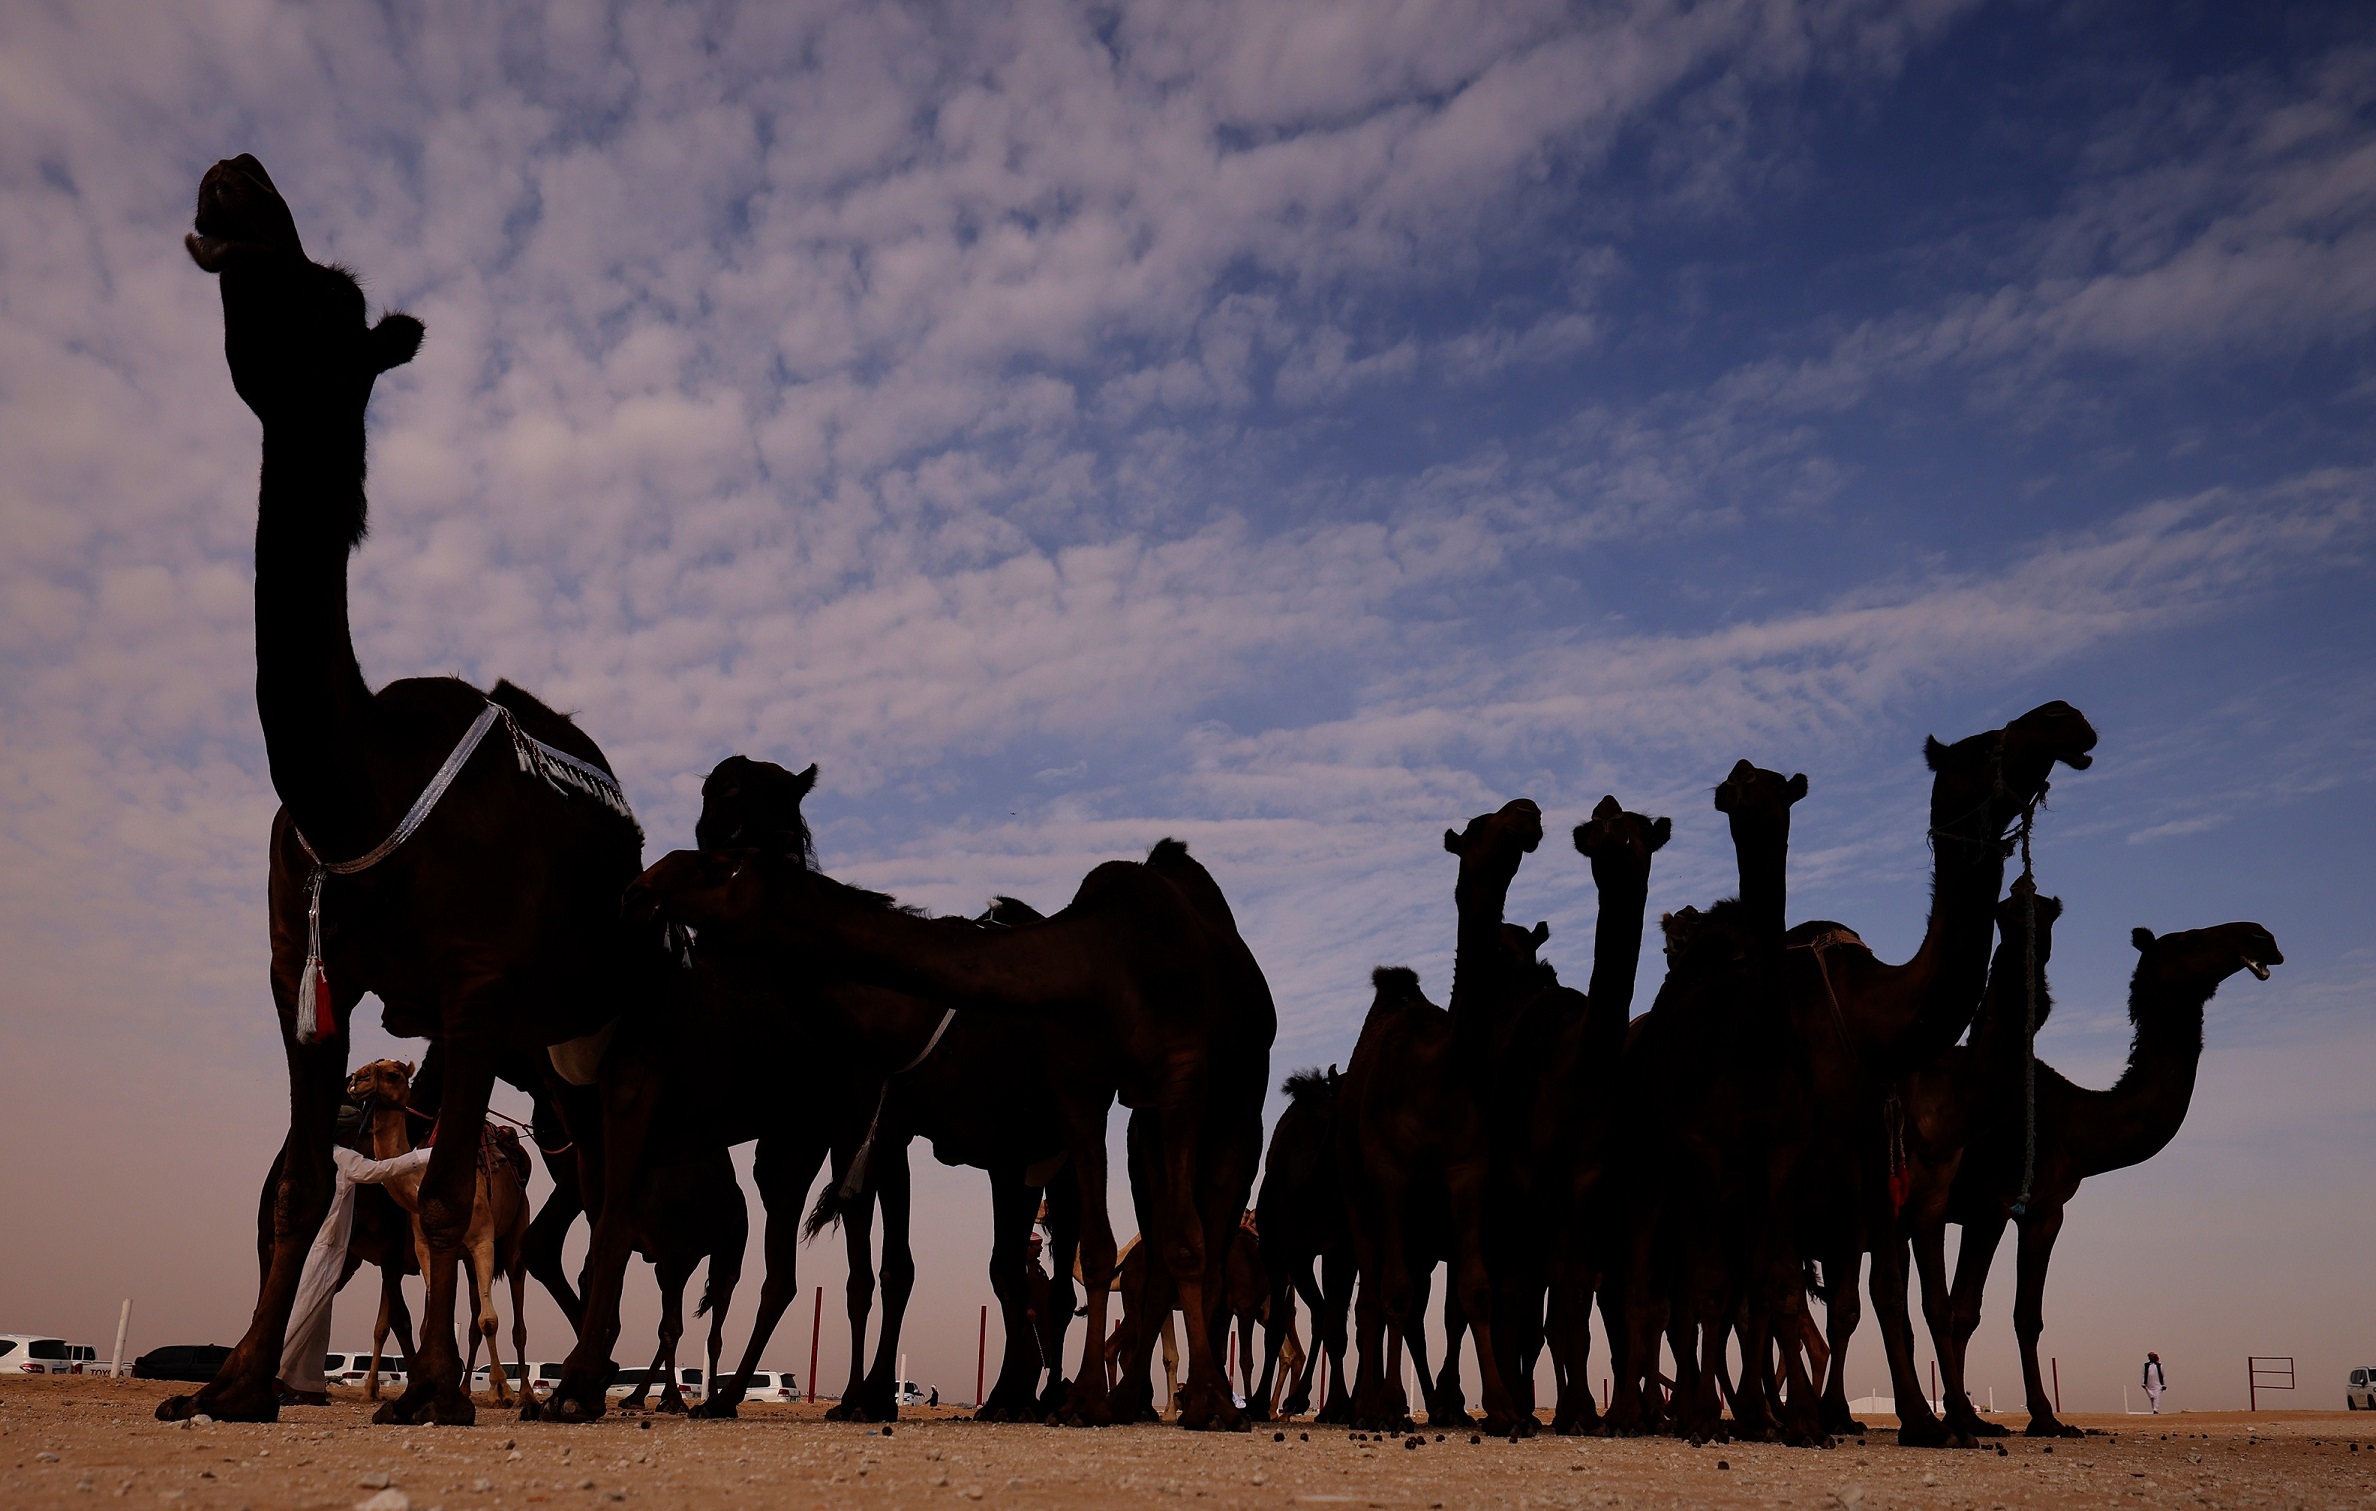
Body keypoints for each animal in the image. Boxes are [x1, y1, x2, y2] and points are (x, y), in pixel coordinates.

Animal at [346, 1054, 532, 1406]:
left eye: (392, 1074)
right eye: (367, 1066)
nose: (356, 1079)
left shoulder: (482, 1240)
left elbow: (490, 1321)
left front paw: (502, 1387)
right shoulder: (422, 1247)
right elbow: (428, 1322)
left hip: (516, 1232)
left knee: (516, 1315)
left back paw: (524, 1392)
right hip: (466, 1262)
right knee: (472, 1322)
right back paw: (465, 1388)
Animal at [622, 831, 1273, 1434]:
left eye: (715, 865)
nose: (642, 884)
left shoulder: (1146, 1087)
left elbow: (1141, 1252)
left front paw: (1200, 1403)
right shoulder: (981, 1114)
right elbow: (926, 1268)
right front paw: (873, 1399)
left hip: (1224, 1105)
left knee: (1188, 1242)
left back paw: (1163, 1399)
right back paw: (1081, 1398)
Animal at [1919, 917, 2271, 1434]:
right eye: (2189, 938)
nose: (2261, 936)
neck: (2075, 1123)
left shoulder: (2046, 1211)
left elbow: (2028, 1315)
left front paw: (2047, 1418)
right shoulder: (1991, 1203)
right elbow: (1964, 1308)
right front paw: (1965, 1417)